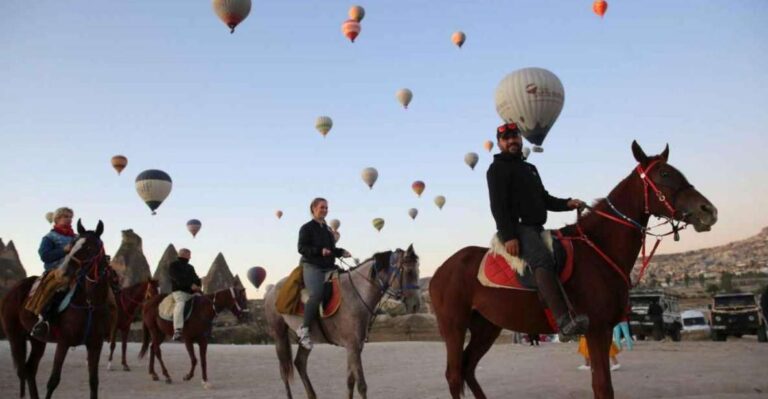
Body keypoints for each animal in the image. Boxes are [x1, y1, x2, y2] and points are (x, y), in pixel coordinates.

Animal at [0, 222, 111, 399]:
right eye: (72, 245)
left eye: (89, 247)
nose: (65, 271)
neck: (89, 303)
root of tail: (12, 291)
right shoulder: (63, 342)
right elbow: (53, 380)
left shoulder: (95, 344)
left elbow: (94, 381)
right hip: (15, 336)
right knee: (22, 370)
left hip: (37, 340)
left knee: (30, 369)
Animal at [264, 245, 420, 398]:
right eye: (409, 271)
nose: (416, 305)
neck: (357, 294)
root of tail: (272, 289)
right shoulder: (352, 346)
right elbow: (361, 385)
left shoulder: (356, 347)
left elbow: (350, 381)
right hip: (279, 335)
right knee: (284, 371)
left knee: (300, 363)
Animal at [428, 143, 716, 399]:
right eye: (665, 174)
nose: (708, 210)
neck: (599, 247)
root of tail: (441, 270)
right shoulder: (596, 329)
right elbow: (603, 388)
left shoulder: (604, 330)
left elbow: (602, 386)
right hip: (453, 326)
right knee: (454, 374)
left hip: (487, 326)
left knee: (468, 369)